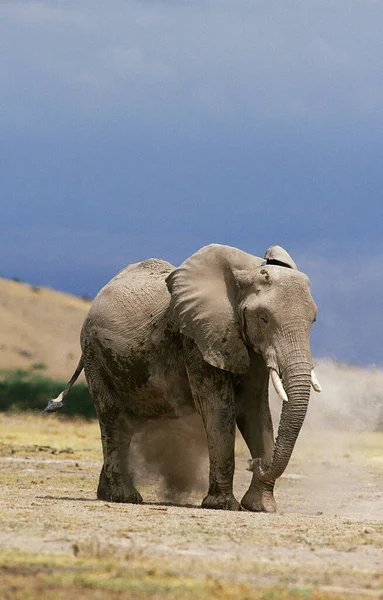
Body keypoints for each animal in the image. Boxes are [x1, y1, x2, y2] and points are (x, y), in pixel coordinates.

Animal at [44, 244, 320, 510]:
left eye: (313, 320)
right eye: (263, 318)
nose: (256, 463)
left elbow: (255, 408)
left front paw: (260, 507)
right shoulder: (197, 339)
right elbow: (218, 408)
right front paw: (222, 505)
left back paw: (106, 494)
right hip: (95, 354)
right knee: (112, 416)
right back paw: (124, 497)